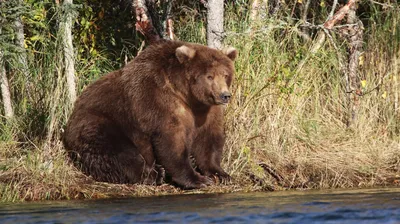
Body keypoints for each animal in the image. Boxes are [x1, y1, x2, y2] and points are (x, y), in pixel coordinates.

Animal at [63, 40, 238, 189]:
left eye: (225, 74)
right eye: (209, 76)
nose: (224, 95)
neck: (187, 95)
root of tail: (72, 115)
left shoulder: (206, 111)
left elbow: (208, 140)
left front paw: (221, 174)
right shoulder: (159, 100)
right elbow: (172, 141)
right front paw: (198, 179)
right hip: (100, 123)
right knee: (118, 153)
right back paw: (155, 174)